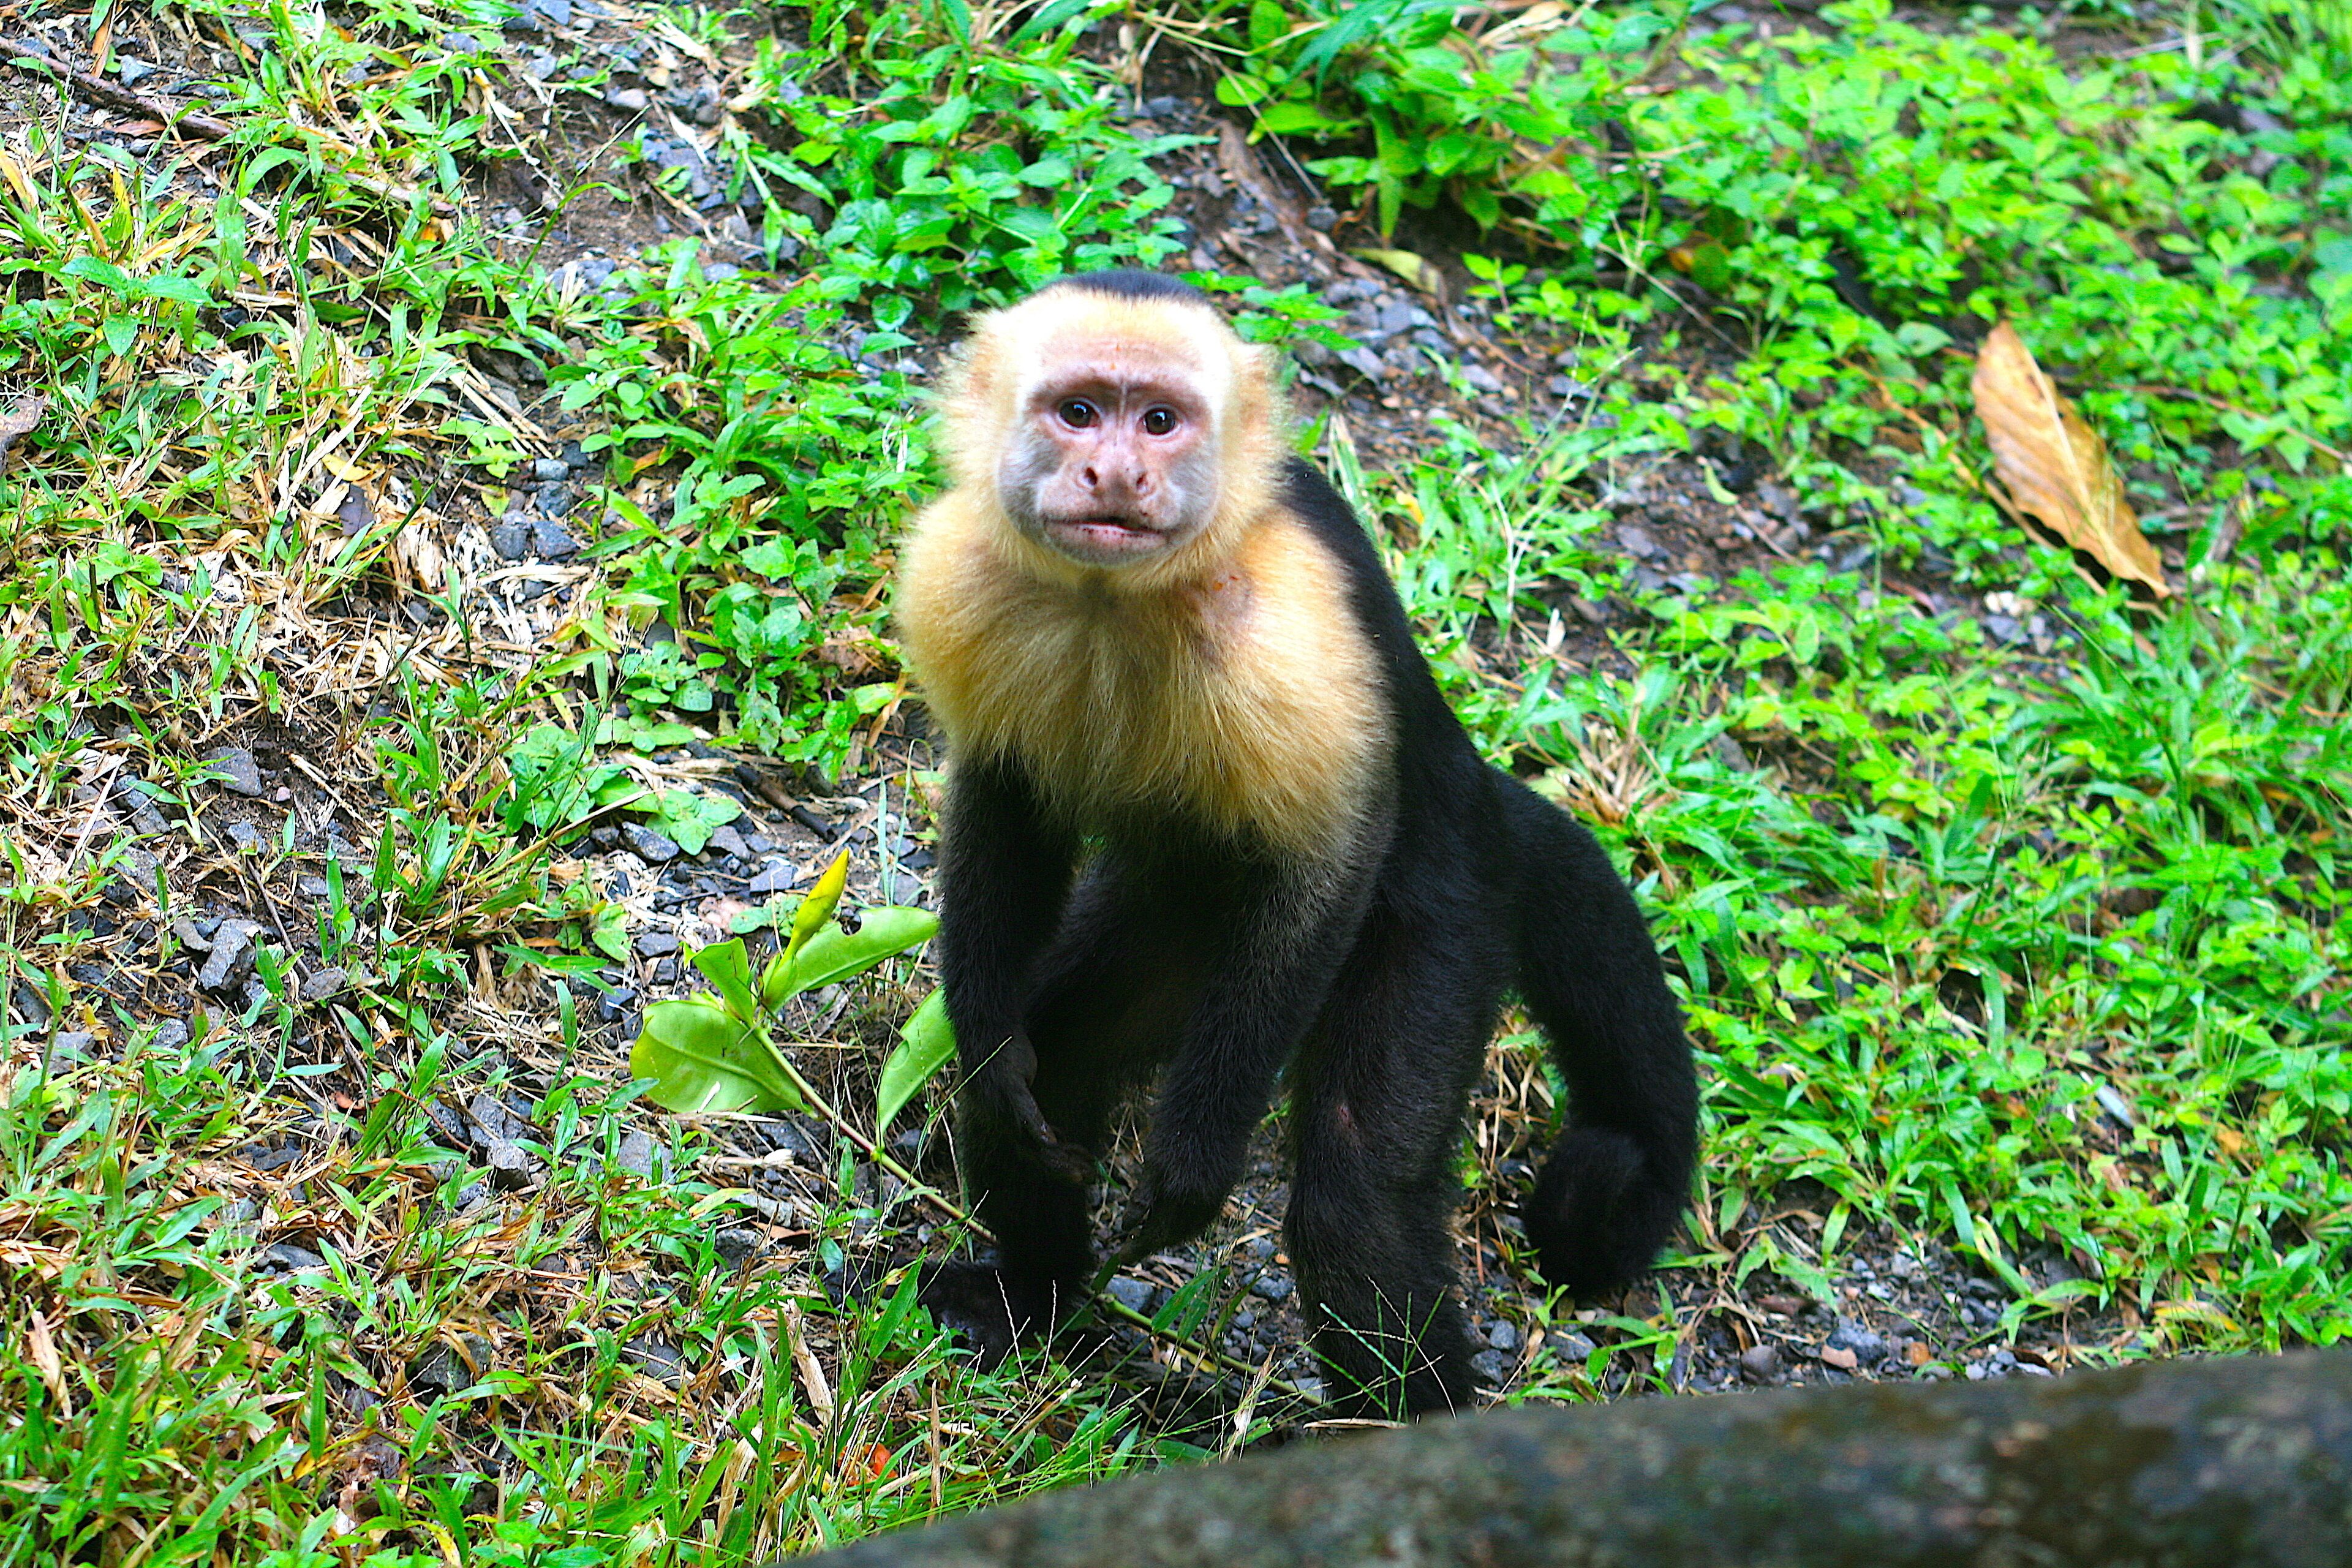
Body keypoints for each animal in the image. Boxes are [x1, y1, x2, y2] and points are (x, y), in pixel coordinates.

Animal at [894, 269, 1697, 1417]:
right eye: (1079, 411)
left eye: (1162, 421)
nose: (1117, 472)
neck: (1118, 597)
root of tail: (1485, 801)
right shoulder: (957, 574)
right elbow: (1004, 813)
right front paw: (993, 1050)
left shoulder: (1286, 624)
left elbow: (1332, 856)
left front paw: (1192, 1164)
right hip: (1175, 914)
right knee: (1076, 1035)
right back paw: (1029, 1295)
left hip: (1446, 912)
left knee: (1354, 1196)